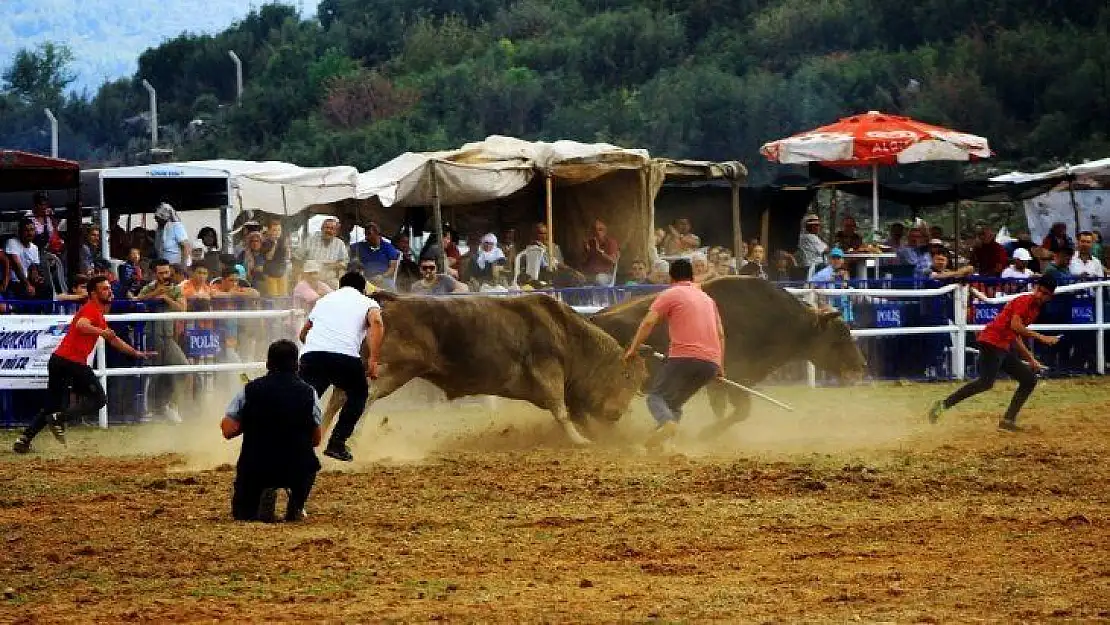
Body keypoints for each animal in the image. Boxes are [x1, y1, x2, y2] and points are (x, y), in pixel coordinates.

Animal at [324, 293, 648, 444]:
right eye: (626, 376)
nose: (616, 414)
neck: (568, 333)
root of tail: (390, 301)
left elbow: (573, 412)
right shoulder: (548, 371)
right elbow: (562, 410)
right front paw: (580, 440)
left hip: (388, 367)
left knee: (343, 394)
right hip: (392, 365)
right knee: (361, 395)